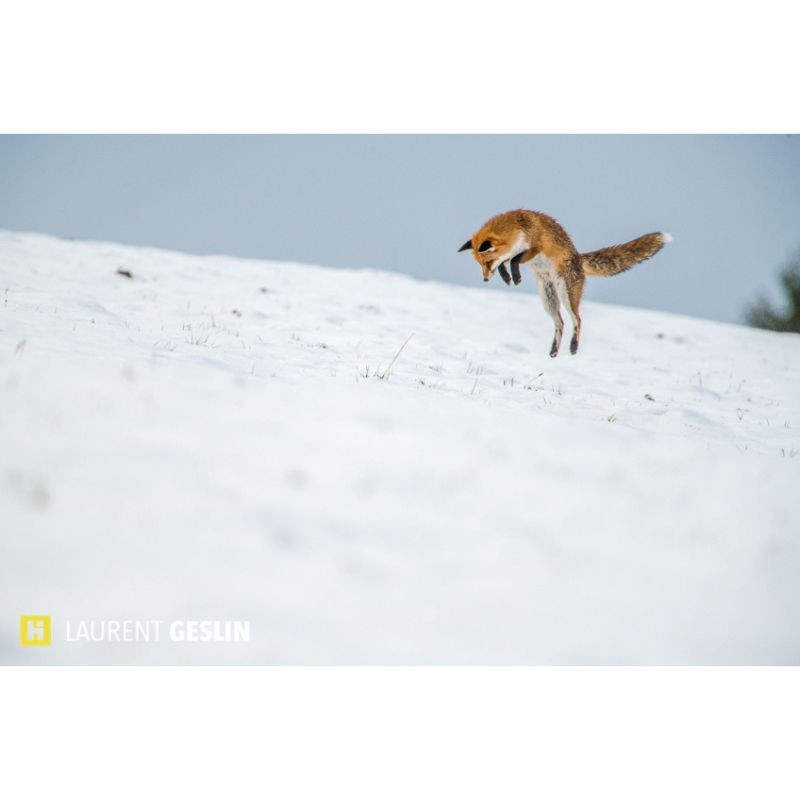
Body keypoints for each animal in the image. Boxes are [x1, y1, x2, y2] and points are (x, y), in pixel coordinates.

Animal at [458, 209, 671, 357]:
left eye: (487, 263)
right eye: (480, 265)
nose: (485, 279)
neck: (519, 226)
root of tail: (578, 257)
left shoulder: (536, 247)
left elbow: (515, 259)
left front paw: (515, 276)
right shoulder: (513, 254)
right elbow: (506, 262)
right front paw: (508, 277)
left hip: (566, 294)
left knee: (577, 320)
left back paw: (573, 346)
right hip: (548, 299)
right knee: (560, 323)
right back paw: (553, 351)